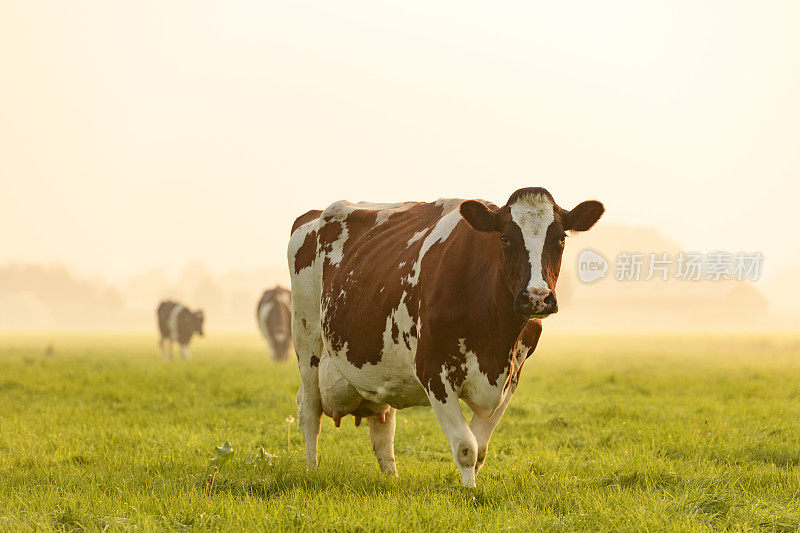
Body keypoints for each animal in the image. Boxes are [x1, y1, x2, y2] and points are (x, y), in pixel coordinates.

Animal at [290, 187, 604, 486]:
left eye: (561, 239)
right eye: (505, 239)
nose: (537, 297)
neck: (495, 341)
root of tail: (313, 215)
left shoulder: (513, 376)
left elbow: (481, 448)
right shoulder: (434, 372)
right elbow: (466, 447)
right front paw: (469, 491)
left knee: (383, 425)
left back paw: (391, 477)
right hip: (306, 338)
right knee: (309, 410)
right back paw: (311, 470)